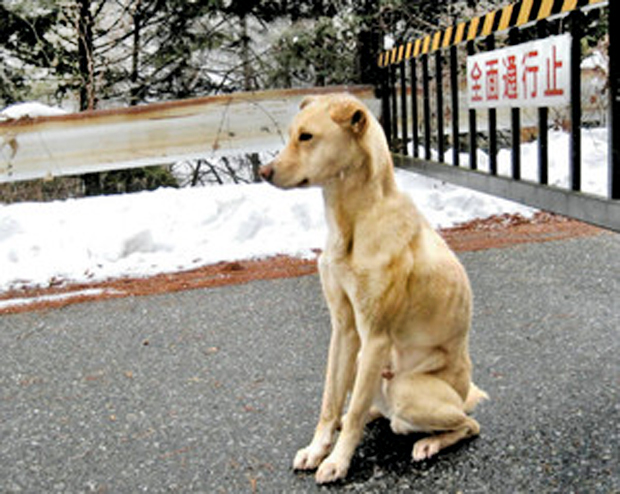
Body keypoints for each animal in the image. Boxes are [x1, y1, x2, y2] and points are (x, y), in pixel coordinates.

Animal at [260, 93, 486, 486]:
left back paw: (429, 442)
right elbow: (330, 402)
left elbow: (349, 417)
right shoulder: (344, 330)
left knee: (467, 424)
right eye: (292, 135)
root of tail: (463, 394)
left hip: (405, 389)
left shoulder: (375, 337)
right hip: (364, 365)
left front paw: (337, 462)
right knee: (365, 406)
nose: (264, 171)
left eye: (306, 137)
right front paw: (318, 449)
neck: (352, 222)